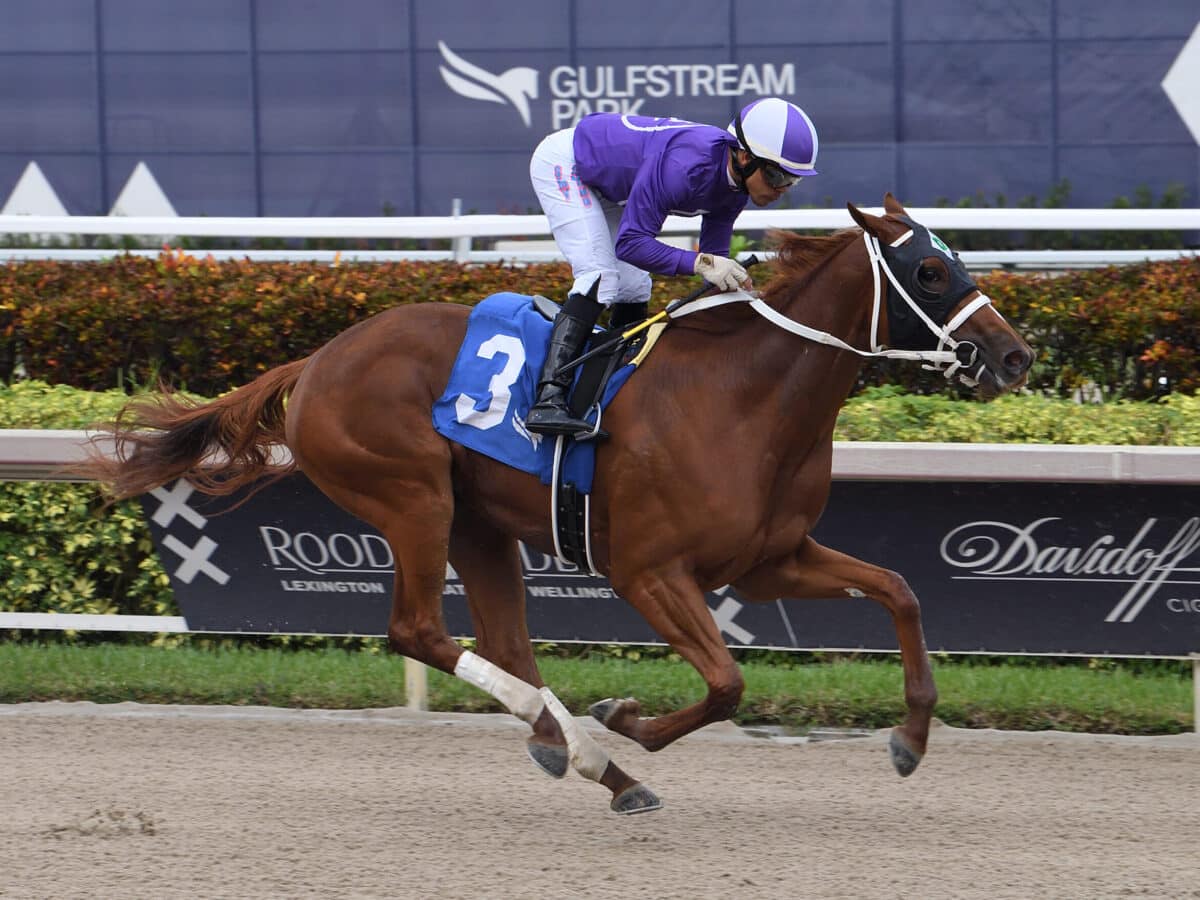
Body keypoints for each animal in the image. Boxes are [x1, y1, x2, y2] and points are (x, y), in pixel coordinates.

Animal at [82, 196, 1032, 816]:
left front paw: (911, 738)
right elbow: (727, 682)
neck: (741, 398)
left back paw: (584, 758)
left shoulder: (772, 559)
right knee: (420, 630)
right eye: (929, 269)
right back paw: (591, 751)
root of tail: (315, 362)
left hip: (477, 525)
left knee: (503, 642)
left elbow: (900, 591)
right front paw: (628, 721)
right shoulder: (648, 571)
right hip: (413, 497)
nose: (1015, 356)